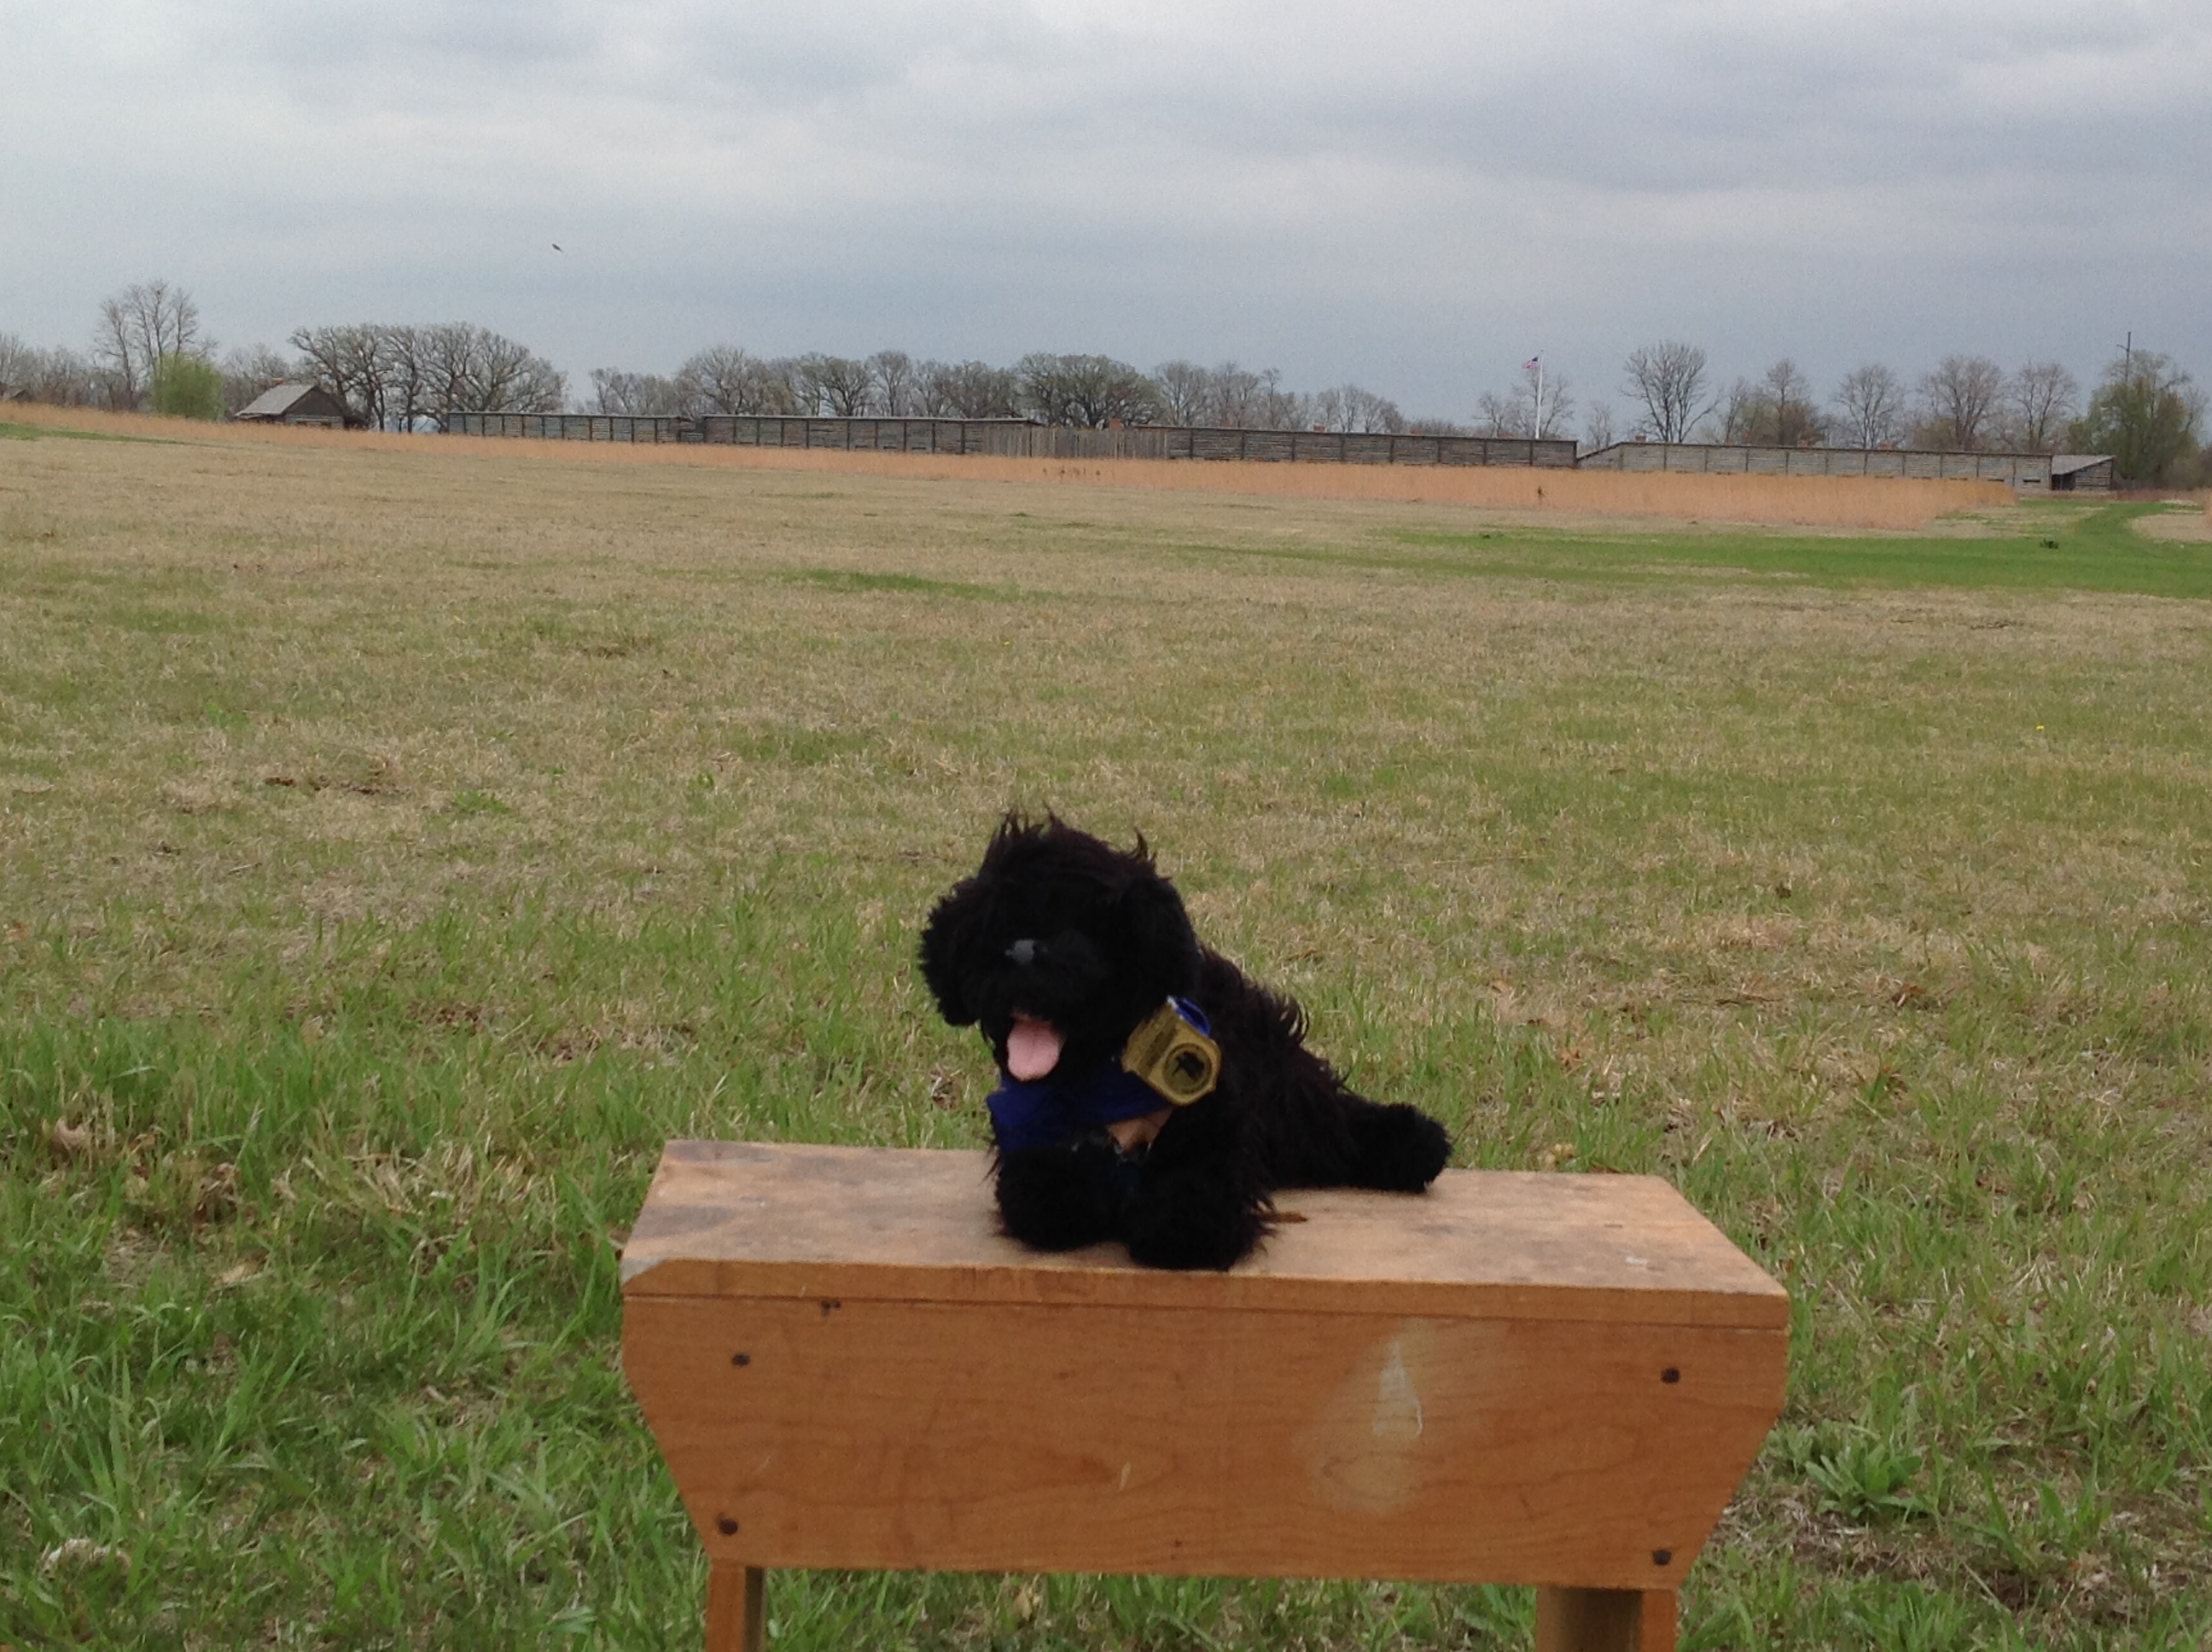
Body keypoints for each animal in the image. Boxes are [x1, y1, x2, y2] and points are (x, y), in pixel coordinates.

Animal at [916, 813, 1451, 1265]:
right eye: (997, 927)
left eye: (1081, 926)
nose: (1022, 952)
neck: (1099, 1079)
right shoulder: (1027, 1132)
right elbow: (1041, 1192)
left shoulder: (1214, 1121)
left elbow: (1198, 1188)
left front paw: (1178, 1226)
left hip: (1287, 1088)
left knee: (1334, 1125)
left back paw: (1412, 1140)